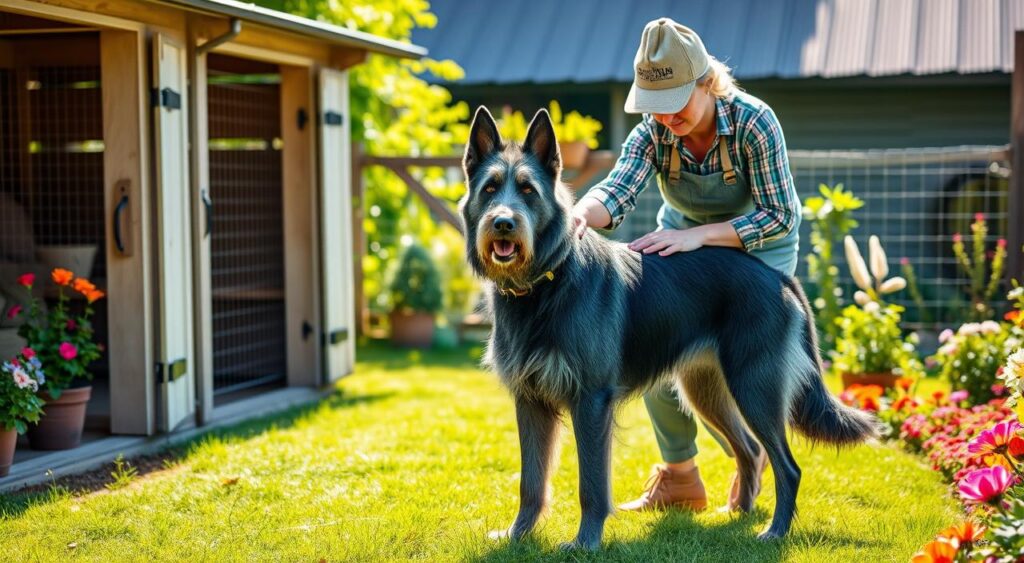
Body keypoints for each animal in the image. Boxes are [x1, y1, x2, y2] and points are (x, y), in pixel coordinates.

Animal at [460, 105, 876, 552]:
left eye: (527, 190)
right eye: (490, 189)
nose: (503, 224)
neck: (546, 284)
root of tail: (776, 277)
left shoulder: (591, 401)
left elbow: (592, 485)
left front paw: (585, 543)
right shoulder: (529, 400)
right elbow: (531, 481)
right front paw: (518, 535)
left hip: (755, 389)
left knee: (787, 466)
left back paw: (775, 531)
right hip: (706, 389)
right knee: (750, 450)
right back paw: (739, 513)